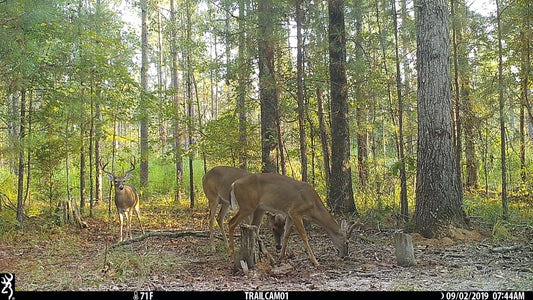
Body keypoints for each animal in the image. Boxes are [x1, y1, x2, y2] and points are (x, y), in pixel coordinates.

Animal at [227, 172, 356, 266]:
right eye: (347, 242)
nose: (345, 256)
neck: (313, 206)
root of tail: (233, 184)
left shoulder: (289, 214)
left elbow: (287, 234)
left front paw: (282, 257)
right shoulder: (295, 211)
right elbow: (304, 235)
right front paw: (315, 261)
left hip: (259, 208)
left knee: (255, 228)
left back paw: (271, 259)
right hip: (247, 205)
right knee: (231, 222)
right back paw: (232, 256)